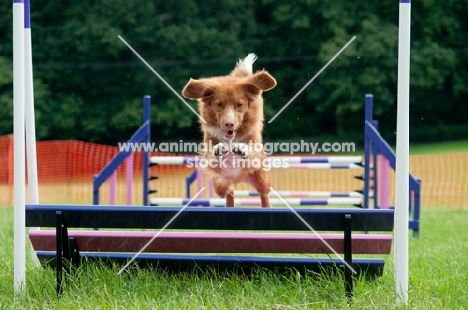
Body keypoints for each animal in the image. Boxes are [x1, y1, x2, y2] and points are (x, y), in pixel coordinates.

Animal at [182, 54, 278, 207]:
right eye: (219, 104)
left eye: (239, 105)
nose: (229, 124)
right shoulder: (209, 150)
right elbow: (212, 157)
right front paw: (218, 150)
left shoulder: (255, 150)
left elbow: (251, 152)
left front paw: (242, 149)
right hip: (220, 183)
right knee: (229, 191)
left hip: (261, 178)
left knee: (264, 193)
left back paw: (267, 207)